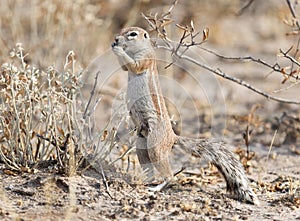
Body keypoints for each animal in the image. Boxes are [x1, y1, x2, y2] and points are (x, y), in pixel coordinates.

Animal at [111, 26, 258, 205]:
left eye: (132, 34)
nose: (116, 39)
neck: (137, 49)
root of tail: (173, 137)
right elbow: (125, 68)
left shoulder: (145, 59)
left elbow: (134, 65)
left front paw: (117, 49)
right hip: (142, 144)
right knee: (148, 165)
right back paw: (143, 181)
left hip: (155, 144)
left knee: (169, 175)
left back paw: (157, 187)